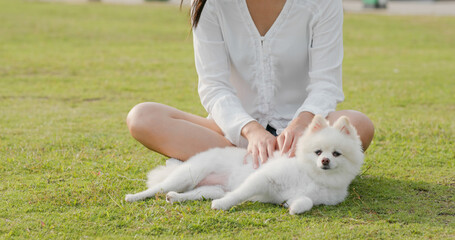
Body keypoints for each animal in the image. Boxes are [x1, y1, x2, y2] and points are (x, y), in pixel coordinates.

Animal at [124, 115, 364, 215]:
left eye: (336, 154)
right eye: (318, 152)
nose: (325, 161)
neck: (312, 176)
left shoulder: (298, 195)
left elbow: (305, 201)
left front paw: (294, 208)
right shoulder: (264, 177)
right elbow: (240, 194)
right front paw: (223, 206)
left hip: (209, 189)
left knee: (192, 194)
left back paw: (176, 198)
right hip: (188, 175)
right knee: (157, 188)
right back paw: (134, 196)